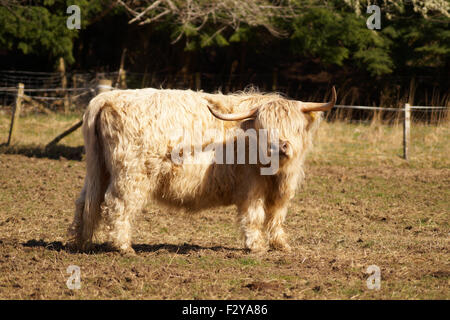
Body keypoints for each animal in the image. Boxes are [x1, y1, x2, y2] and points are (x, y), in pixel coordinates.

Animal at [68, 86, 336, 254]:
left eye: (295, 126)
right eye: (263, 127)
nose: (279, 146)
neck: (277, 173)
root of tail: (109, 97)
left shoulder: (281, 191)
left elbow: (276, 216)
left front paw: (281, 245)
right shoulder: (251, 187)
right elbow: (254, 215)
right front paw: (256, 246)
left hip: (98, 169)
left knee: (86, 202)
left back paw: (82, 242)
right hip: (130, 175)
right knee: (117, 204)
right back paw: (124, 247)